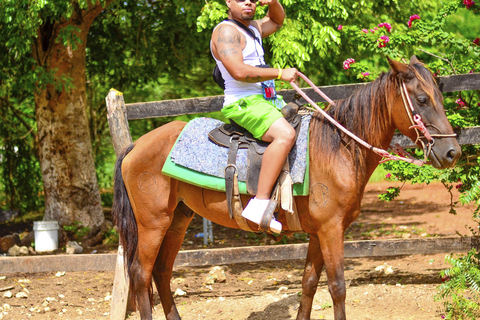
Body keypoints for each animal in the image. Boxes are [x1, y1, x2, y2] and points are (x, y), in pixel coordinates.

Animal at [111, 56, 462, 318]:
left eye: (441, 96)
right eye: (421, 99)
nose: (452, 152)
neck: (338, 147)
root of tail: (135, 147)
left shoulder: (319, 232)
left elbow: (309, 283)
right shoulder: (331, 229)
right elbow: (337, 287)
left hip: (178, 220)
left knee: (161, 273)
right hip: (152, 223)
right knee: (141, 275)